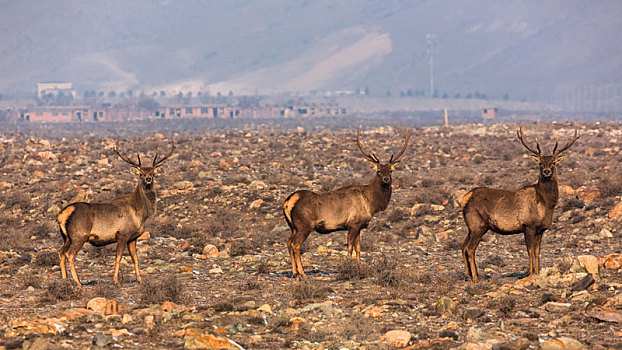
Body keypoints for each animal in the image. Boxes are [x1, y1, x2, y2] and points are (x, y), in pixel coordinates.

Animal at [56, 138, 176, 286]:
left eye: (153, 173)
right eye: (141, 174)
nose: (148, 179)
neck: (140, 213)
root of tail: (63, 214)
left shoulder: (133, 237)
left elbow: (135, 259)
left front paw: (140, 280)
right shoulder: (122, 234)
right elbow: (118, 258)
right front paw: (115, 280)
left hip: (66, 237)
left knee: (61, 252)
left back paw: (64, 279)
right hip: (79, 236)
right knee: (70, 254)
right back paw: (78, 282)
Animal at [286, 125, 412, 276]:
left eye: (391, 171)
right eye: (378, 171)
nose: (386, 179)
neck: (372, 204)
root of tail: (289, 201)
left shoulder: (359, 226)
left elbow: (358, 248)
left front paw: (358, 267)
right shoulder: (353, 223)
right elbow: (350, 247)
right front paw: (348, 267)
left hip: (293, 227)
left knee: (288, 242)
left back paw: (295, 272)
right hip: (304, 225)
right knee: (295, 244)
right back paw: (303, 273)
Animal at [460, 123, 584, 282]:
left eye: (554, 163)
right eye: (540, 163)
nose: (547, 171)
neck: (545, 204)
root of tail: (464, 199)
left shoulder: (541, 229)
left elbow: (537, 251)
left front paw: (537, 272)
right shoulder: (528, 226)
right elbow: (529, 250)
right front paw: (530, 274)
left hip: (471, 227)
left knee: (463, 245)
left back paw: (469, 275)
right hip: (477, 225)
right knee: (470, 248)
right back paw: (476, 277)